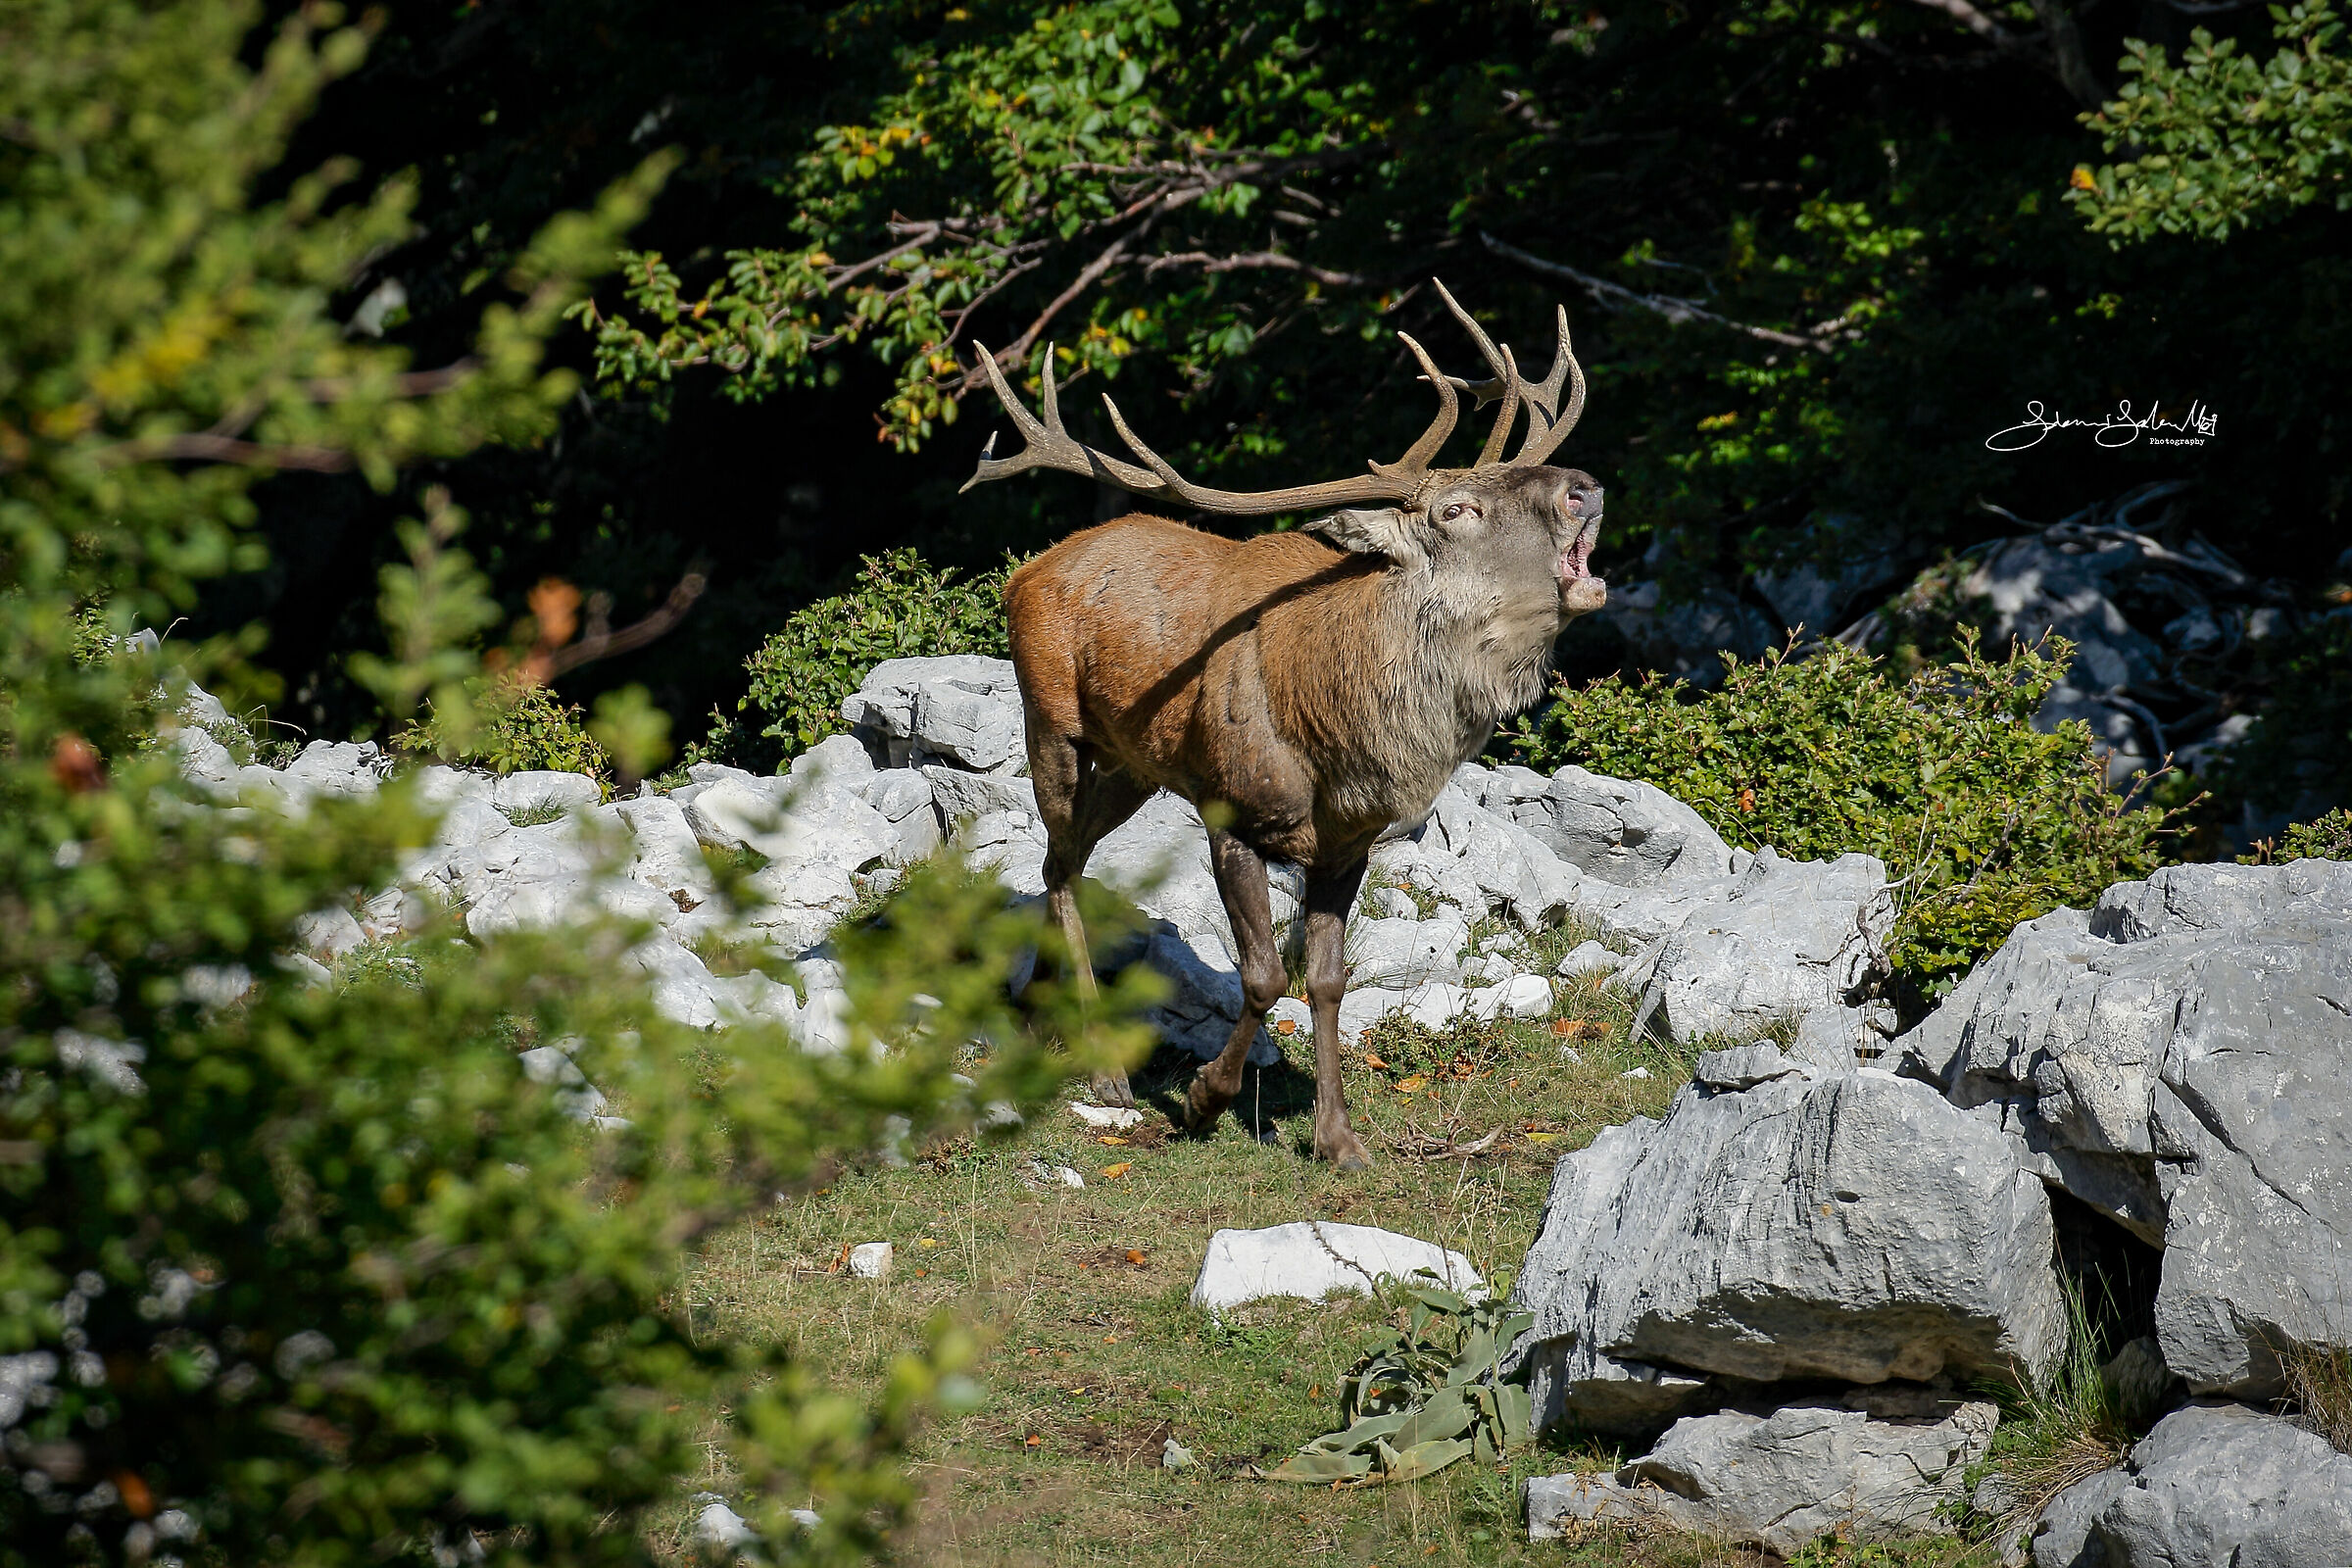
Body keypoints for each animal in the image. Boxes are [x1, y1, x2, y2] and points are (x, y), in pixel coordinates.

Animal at [961, 281, 1606, 1168]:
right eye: (1457, 509)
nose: (1583, 485)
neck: (1336, 739)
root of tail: (1024, 571)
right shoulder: (1233, 810)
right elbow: (1264, 976)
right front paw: (1205, 1100)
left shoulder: (1347, 843)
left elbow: (1327, 980)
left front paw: (1338, 1137)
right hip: (1050, 718)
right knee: (1055, 859)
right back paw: (1106, 1071)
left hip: (1134, 765)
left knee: (1068, 859)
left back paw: (1038, 1012)